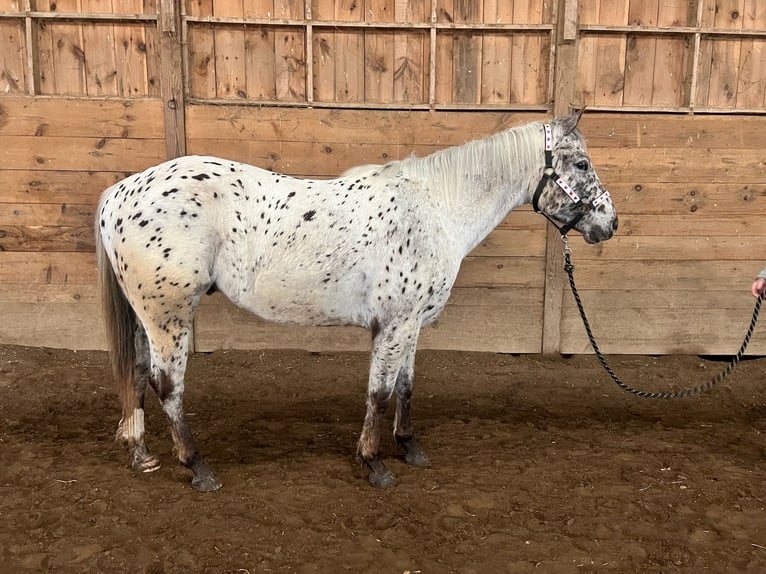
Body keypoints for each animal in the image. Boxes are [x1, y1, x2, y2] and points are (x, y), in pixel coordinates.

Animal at [95, 110, 618, 491]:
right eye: (582, 164)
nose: (609, 224)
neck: (435, 208)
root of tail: (119, 192)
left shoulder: (410, 323)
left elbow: (405, 387)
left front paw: (410, 448)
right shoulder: (394, 322)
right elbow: (379, 393)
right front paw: (374, 464)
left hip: (147, 318)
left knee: (137, 374)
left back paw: (143, 455)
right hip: (169, 316)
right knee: (167, 385)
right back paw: (197, 467)